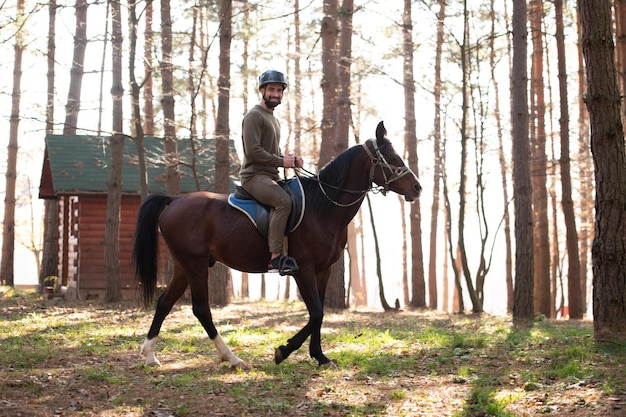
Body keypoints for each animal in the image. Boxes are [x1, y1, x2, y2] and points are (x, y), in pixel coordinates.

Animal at [132, 120, 420, 368]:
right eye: (392, 158)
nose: (417, 188)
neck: (324, 207)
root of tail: (174, 200)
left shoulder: (323, 270)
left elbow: (319, 312)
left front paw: (319, 356)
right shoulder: (303, 269)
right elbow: (316, 313)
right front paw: (284, 350)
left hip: (184, 266)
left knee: (165, 303)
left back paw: (150, 355)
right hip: (196, 265)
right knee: (201, 309)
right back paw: (232, 358)